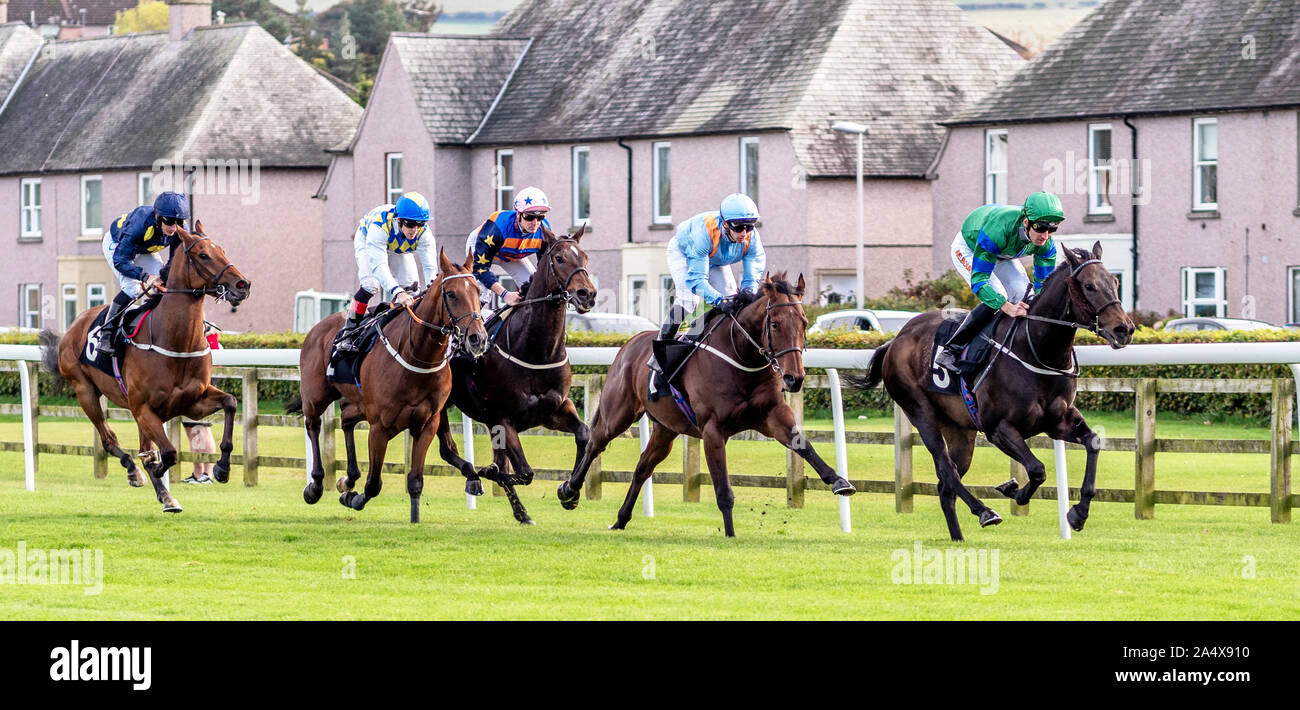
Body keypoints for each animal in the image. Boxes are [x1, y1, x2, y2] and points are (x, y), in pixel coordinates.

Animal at [39, 221, 249, 509]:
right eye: (203, 255)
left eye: (223, 250)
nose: (242, 284)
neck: (176, 342)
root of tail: (75, 324)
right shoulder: (144, 409)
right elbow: (167, 453)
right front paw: (156, 471)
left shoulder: (192, 403)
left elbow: (230, 402)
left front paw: (222, 468)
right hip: (86, 392)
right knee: (109, 439)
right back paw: (135, 472)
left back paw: (164, 492)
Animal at [297, 248, 488, 520]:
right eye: (451, 294)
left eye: (478, 292)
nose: (477, 338)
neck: (417, 355)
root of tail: (317, 329)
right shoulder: (380, 426)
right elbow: (373, 484)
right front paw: (353, 498)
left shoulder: (428, 423)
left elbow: (415, 480)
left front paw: (415, 519)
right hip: (316, 395)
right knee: (313, 425)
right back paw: (315, 484)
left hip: (358, 402)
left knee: (346, 419)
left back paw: (349, 477)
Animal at [556, 273, 852, 533]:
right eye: (775, 324)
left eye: (803, 322)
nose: (794, 378)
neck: (742, 359)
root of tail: (629, 343)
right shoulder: (712, 430)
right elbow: (723, 490)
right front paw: (730, 535)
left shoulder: (772, 414)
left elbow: (803, 445)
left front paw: (839, 481)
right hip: (618, 413)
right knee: (595, 444)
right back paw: (569, 490)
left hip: (666, 429)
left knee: (642, 467)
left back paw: (620, 519)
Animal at [847, 240, 1133, 538]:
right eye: (1089, 286)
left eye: (1114, 282)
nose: (1124, 329)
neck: (1035, 350)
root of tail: (895, 341)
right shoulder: (998, 428)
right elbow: (1037, 469)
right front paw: (1014, 490)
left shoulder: (1058, 422)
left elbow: (1093, 442)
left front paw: (1078, 513)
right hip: (920, 412)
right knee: (947, 470)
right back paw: (985, 511)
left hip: (959, 429)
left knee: (945, 486)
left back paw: (958, 538)